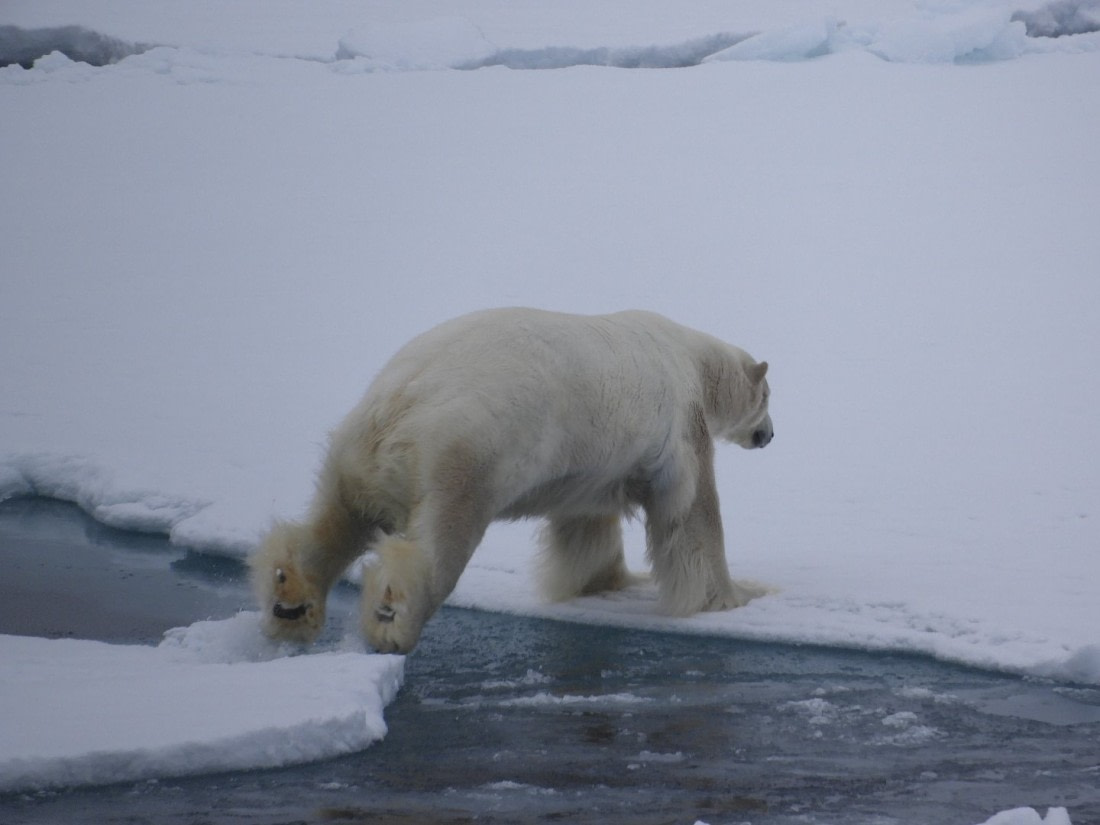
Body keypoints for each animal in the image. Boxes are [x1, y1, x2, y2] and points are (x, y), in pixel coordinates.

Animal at [250, 308, 773, 654]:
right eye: (768, 396)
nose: (769, 435)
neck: (694, 361)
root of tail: (403, 400)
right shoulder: (679, 423)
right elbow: (693, 512)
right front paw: (731, 597)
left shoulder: (596, 455)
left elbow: (588, 522)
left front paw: (604, 583)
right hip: (466, 452)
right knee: (439, 543)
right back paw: (392, 617)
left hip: (355, 450)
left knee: (338, 520)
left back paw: (291, 596)